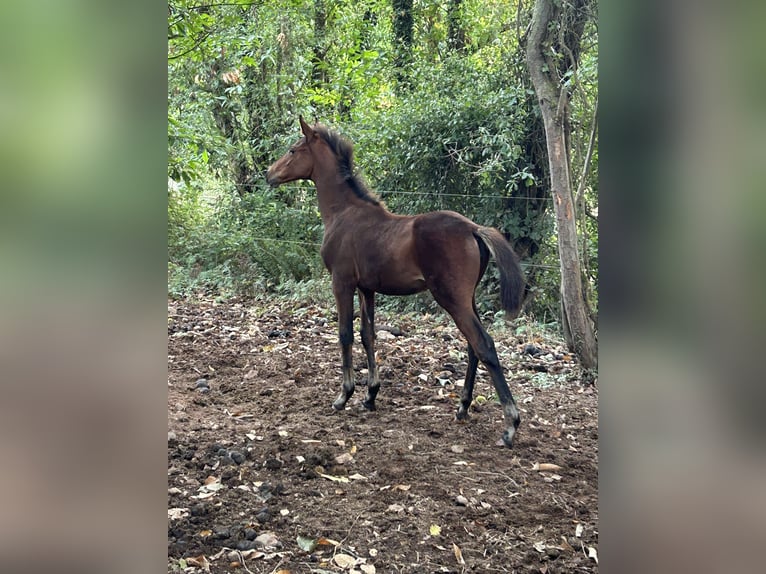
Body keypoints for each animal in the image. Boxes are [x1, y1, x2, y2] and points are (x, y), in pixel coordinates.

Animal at [266, 117, 525, 447]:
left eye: (293, 149)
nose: (269, 174)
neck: (343, 213)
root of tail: (473, 228)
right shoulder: (367, 288)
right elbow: (368, 335)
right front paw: (370, 396)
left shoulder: (342, 282)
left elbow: (345, 334)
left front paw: (344, 396)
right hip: (467, 299)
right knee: (473, 347)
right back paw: (462, 408)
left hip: (451, 298)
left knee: (485, 345)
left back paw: (509, 425)